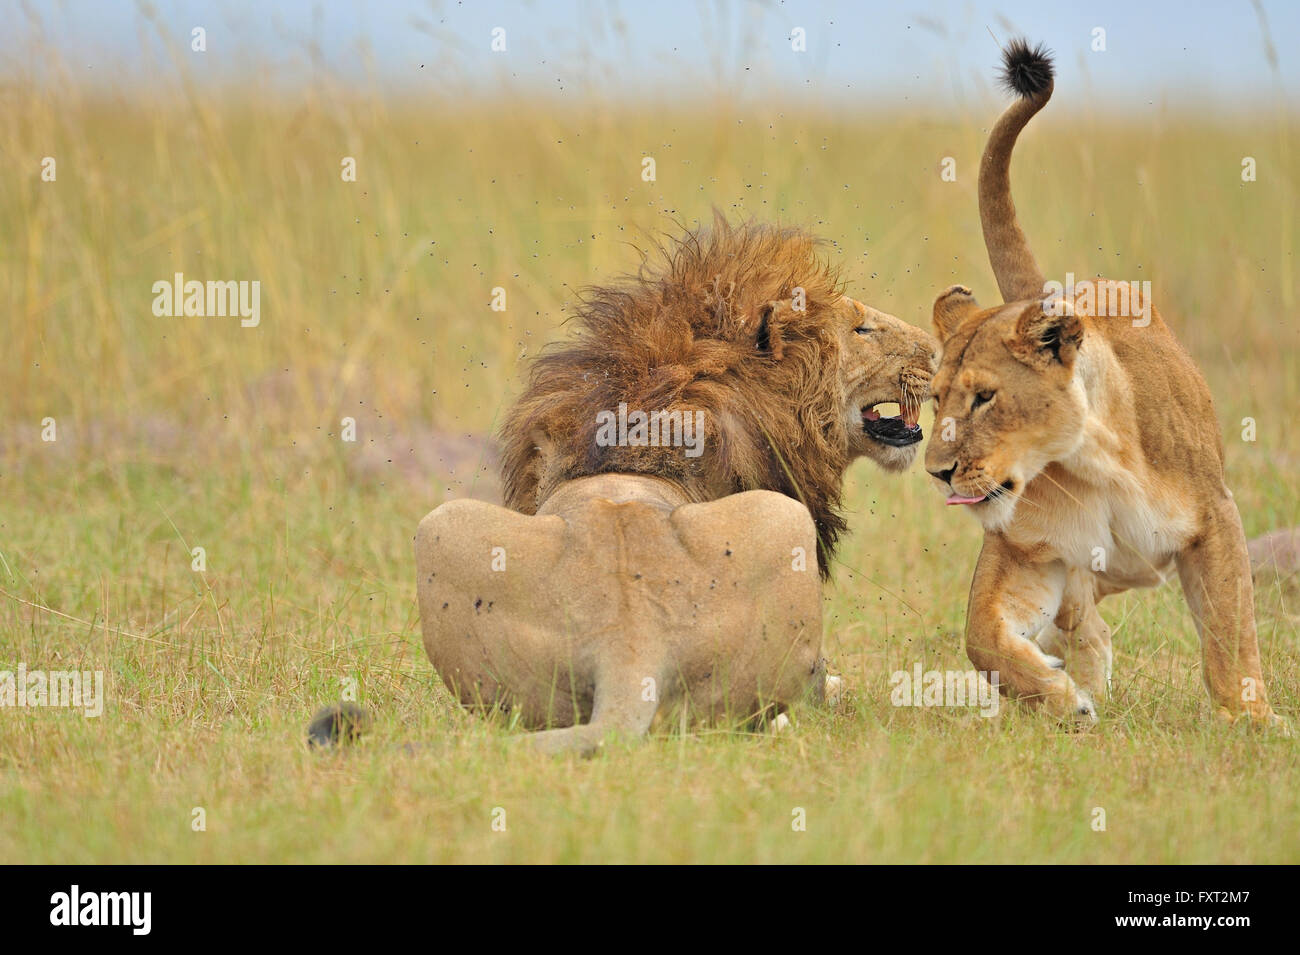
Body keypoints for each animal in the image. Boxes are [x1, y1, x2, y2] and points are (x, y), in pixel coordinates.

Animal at [923, 40, 1280, 726]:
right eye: (934, 401)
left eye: (985, 398)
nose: (937, 472)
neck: (1092, 462)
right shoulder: (1029, 549)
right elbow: (982, 637)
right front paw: (1064, 701)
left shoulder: (1215, 517)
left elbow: (1230, 632)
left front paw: (1251, 720)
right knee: (1081, 621)